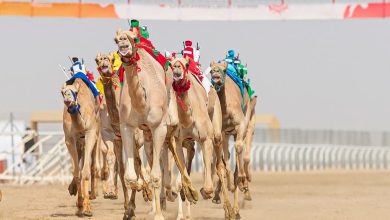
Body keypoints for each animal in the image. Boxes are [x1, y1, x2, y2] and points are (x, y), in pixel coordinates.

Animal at [61, 78, 100, 217]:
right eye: (62, 92)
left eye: (75, 92)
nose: (68, 98)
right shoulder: (69, 139)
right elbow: (77, 173)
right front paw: (79, 206)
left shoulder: (90, 134)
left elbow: (86, 172)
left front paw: (87, 209)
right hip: (79, 144)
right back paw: (73, 190)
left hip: (96, 138)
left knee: (93, 166)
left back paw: (92, 194)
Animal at [112, 29, 198, 220]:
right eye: (115, 39)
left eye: (133, 38)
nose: (123, 41)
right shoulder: (127, 126)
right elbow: (131, 176)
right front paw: (141, 189)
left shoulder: (159, 127)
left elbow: (156, 176)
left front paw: (158, 214)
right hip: (149, 134)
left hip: (173, 126)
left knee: (177, 152)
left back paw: (190, 191)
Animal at [209, 61, 251, 219]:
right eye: (211, 70)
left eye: (224, 70)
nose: (216, 73)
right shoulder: (221, 132)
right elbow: (223, 164)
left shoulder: (240, 125)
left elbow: (238, 147)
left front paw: (242, 182)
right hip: (226, 134)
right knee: (222, 161)